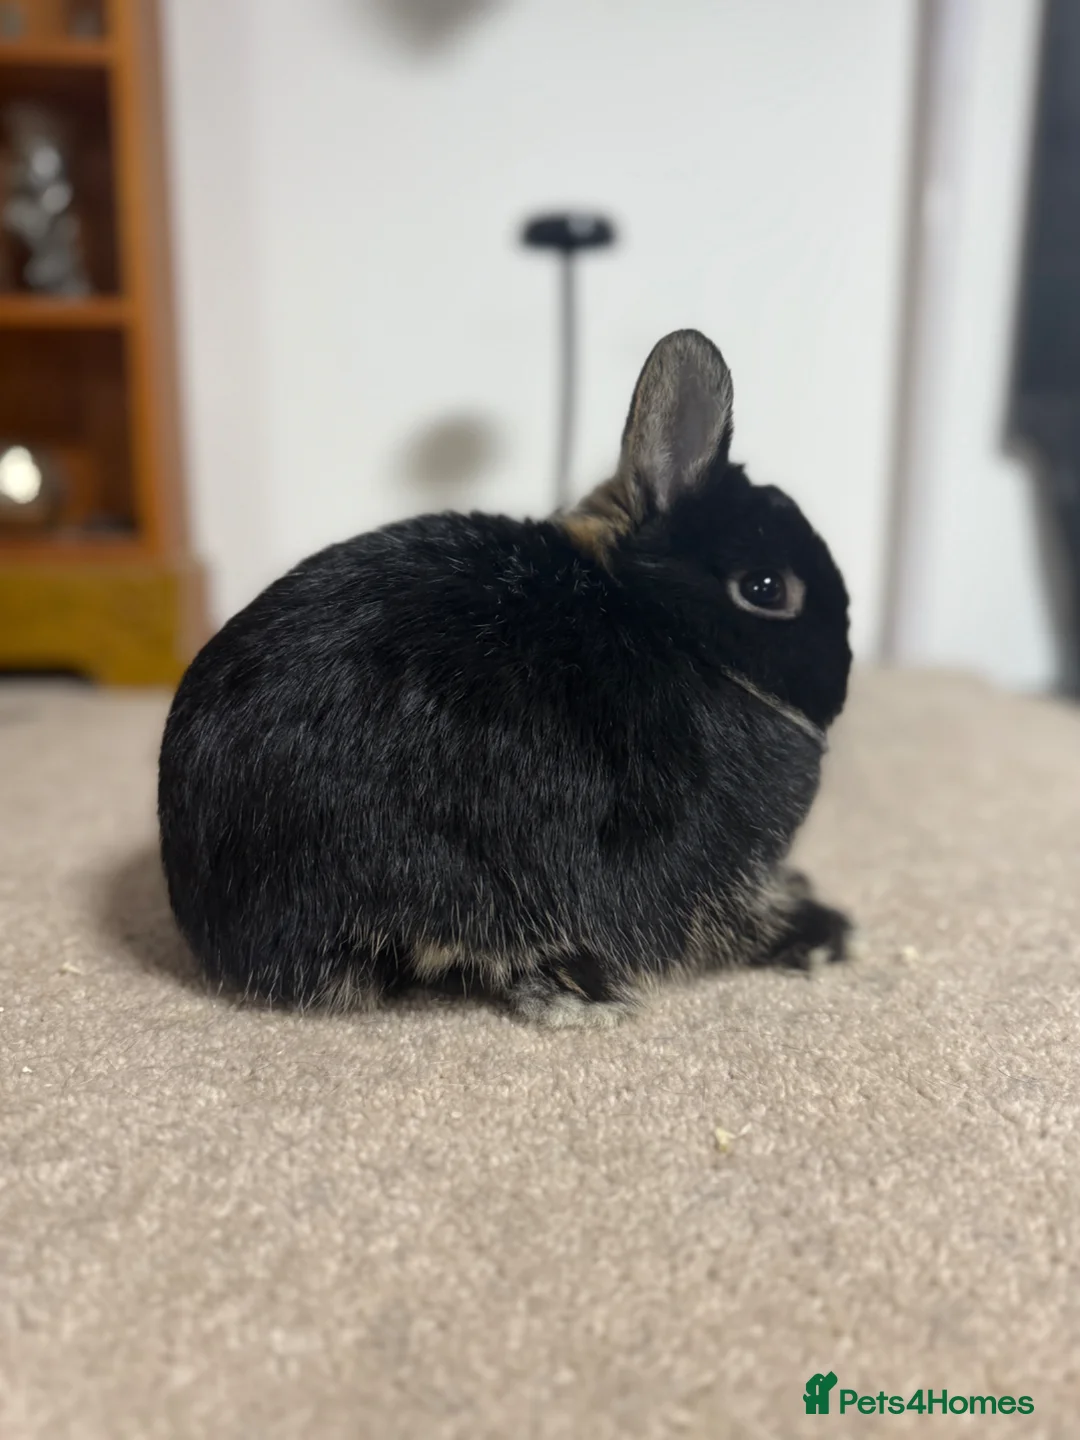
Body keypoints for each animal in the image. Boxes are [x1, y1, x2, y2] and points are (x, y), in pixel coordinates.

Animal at [158, 329, 853, 1027]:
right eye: (765, 589)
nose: (843, 677)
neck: (669, 625)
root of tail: (217, 933)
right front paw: (821, 930)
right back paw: (582, 994)